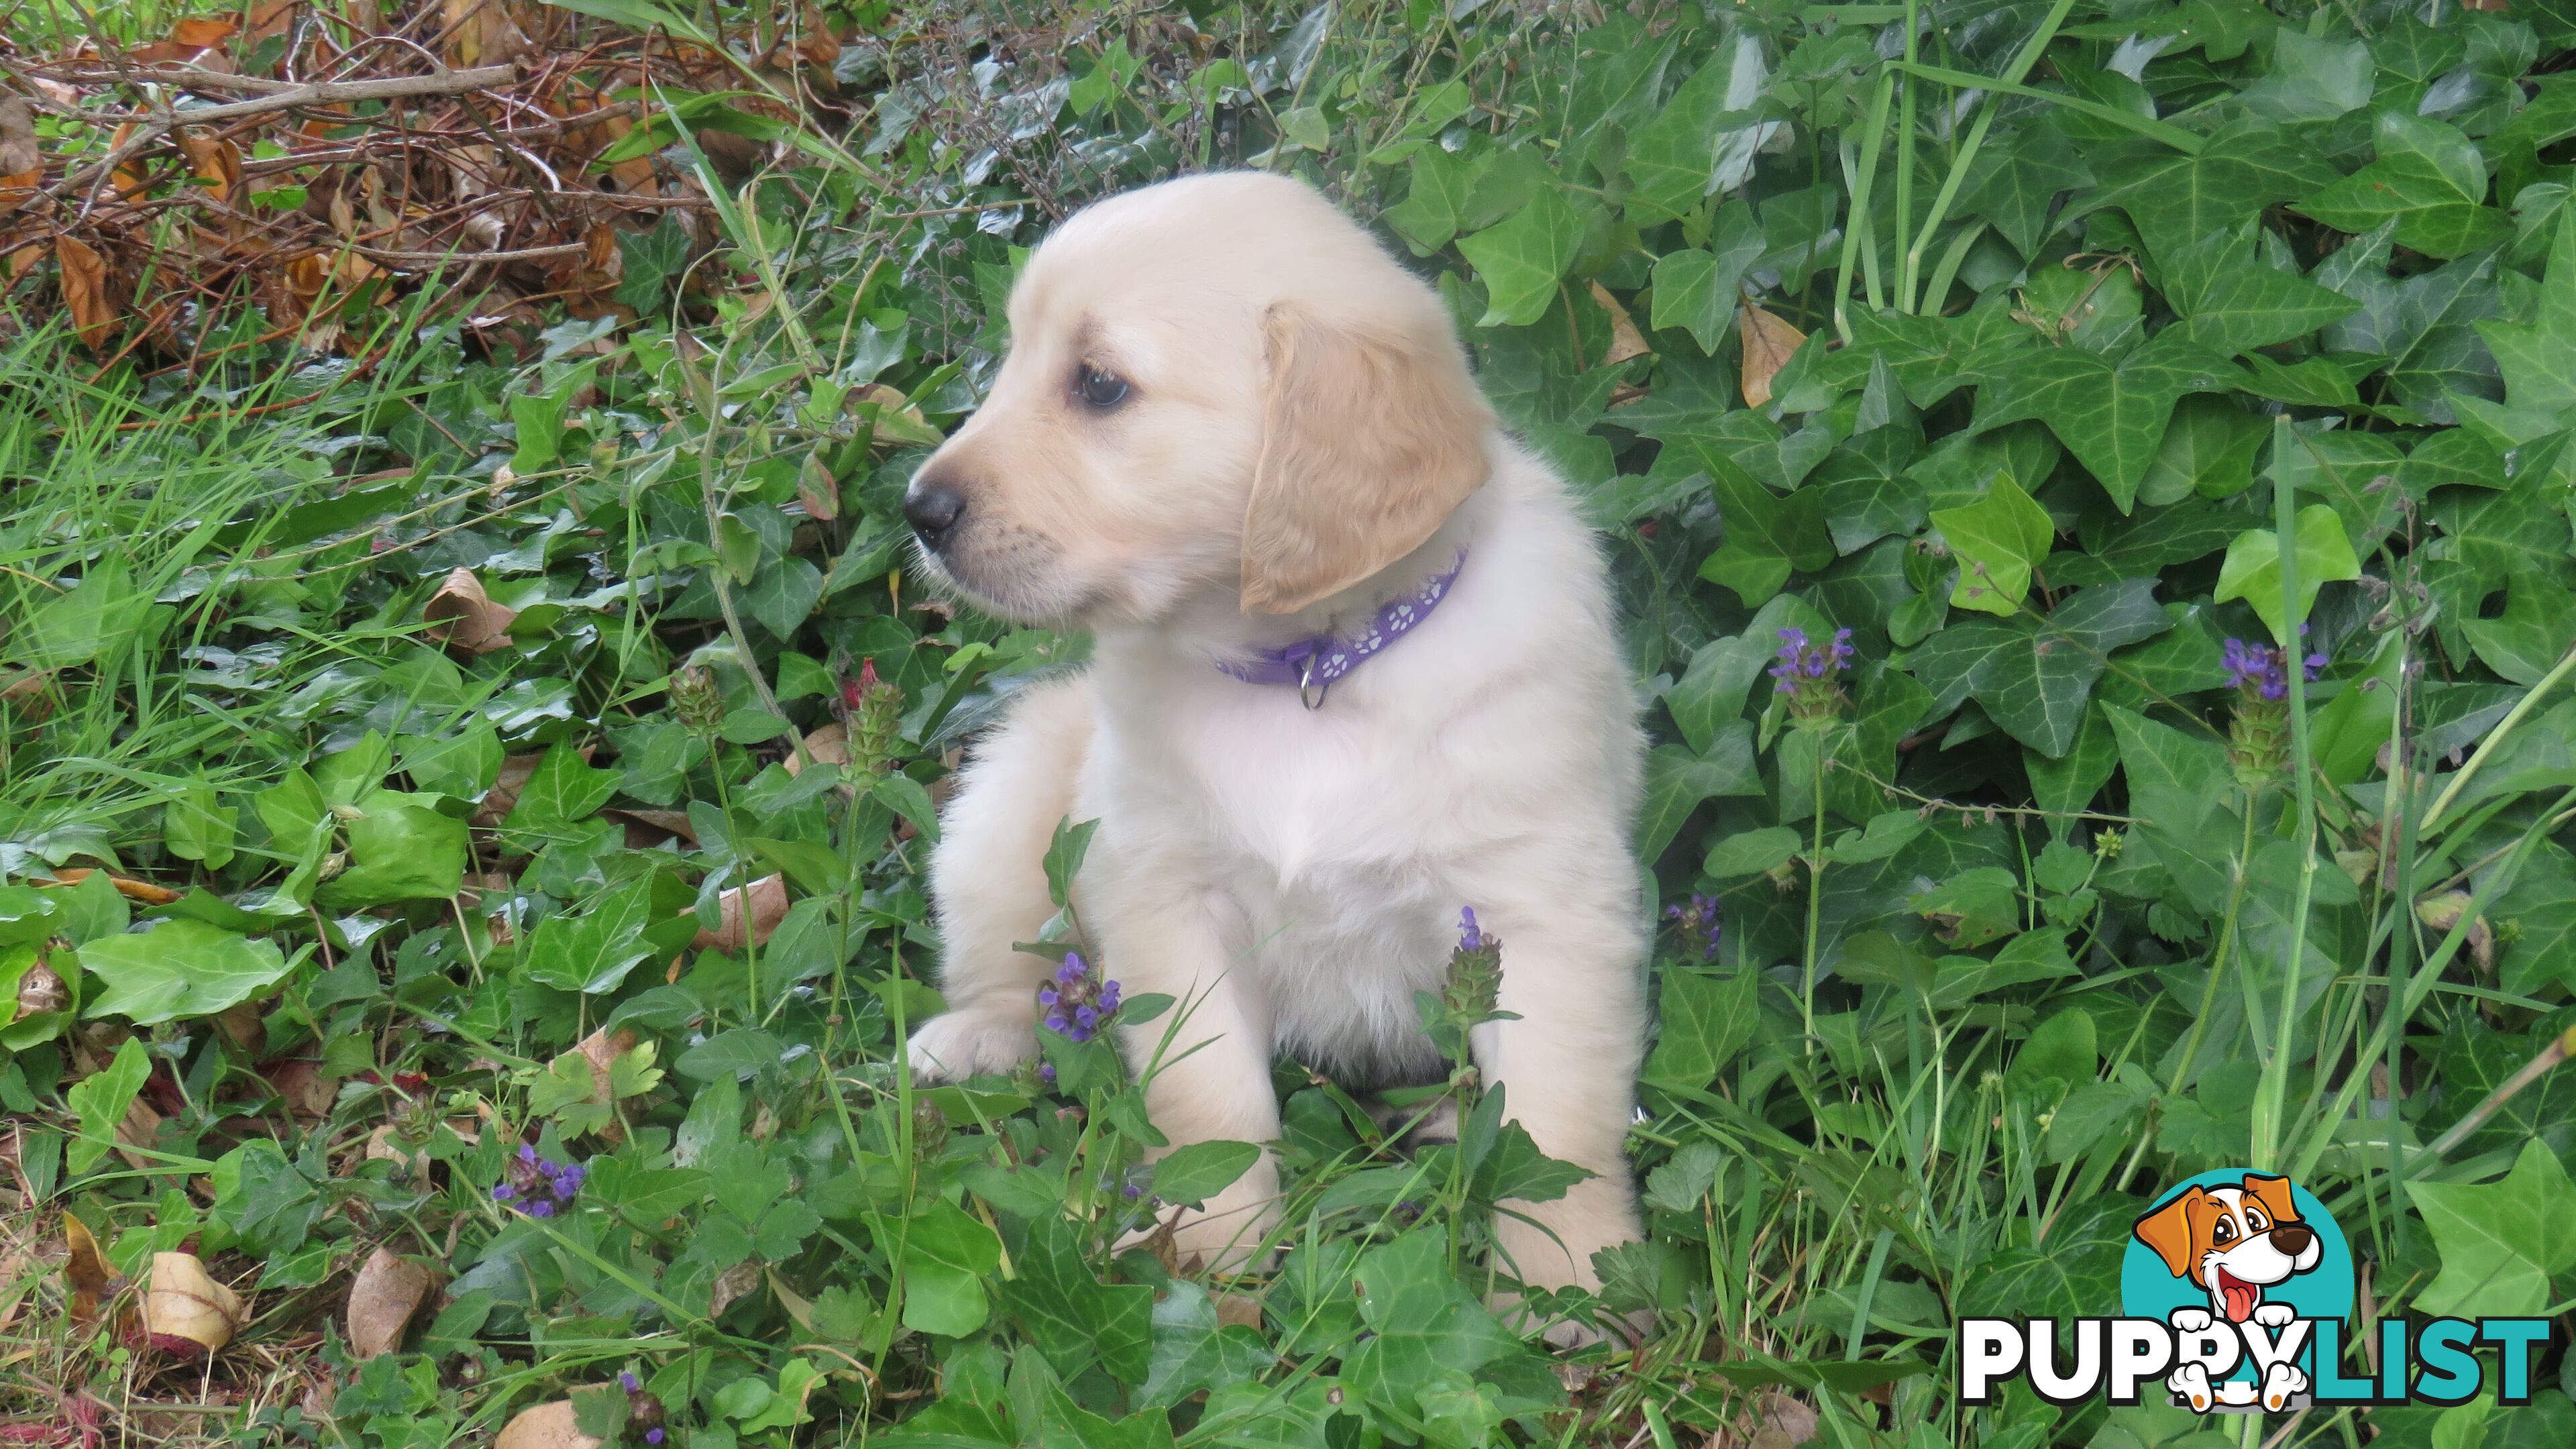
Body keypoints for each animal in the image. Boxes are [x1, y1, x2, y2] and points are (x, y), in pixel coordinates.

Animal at [896, 166, 1638, 1309]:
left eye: (1099, 385)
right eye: (1011, 359)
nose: (918, 510)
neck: (1311, 674)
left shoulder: (1541, 910)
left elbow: (1555, 1127)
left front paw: (1567, 1286)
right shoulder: (1167, 894)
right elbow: (1209, 1101)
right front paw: (1209, 1258)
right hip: (1008, 803)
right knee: (1008, 956)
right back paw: (979, 1036)